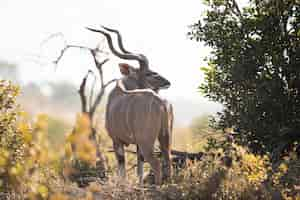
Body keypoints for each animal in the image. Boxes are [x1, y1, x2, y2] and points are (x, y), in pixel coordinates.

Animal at [85, 26, 172, 184]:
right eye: (150, 73)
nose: (167, 82)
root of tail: (160, 102)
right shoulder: (136, 144)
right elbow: (139, 167)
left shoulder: (117, 140)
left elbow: (122, 168)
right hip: (164, 137)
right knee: (168, 160)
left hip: (146, 141)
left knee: (156, 163)